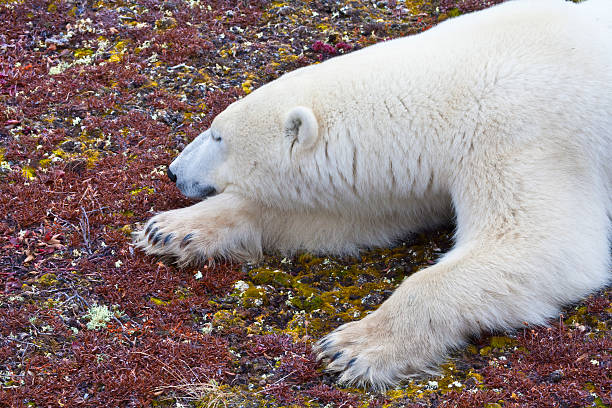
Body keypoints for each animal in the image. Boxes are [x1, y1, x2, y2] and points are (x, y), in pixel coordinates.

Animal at [136, 0, 608, 388]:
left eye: (218, 136)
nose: (173, 172)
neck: (455, 82)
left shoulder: (520, 136)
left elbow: (540, 243)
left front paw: (353, 347)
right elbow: (350, 217)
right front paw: (171, 229)